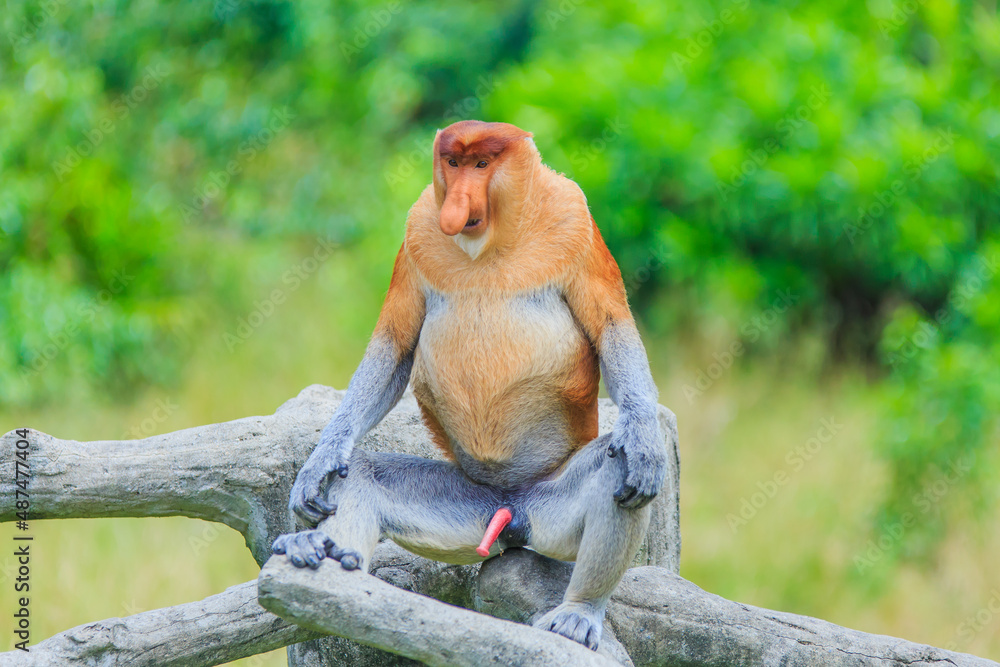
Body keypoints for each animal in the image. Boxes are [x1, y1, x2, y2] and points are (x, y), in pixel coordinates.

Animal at [271, 120, 666, 650]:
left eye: (482, 164)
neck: (492, 241)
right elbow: (394, 345)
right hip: (467, 507)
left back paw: (579, 613)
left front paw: (643, 441)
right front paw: (320, 461)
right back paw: (321, 545)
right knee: (364, 475)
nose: (458, 202)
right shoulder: (419, 225)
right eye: (453, 163)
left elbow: (611, 329)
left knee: (613, 469)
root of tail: (509, 507)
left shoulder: (575, 220)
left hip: (550, 509)